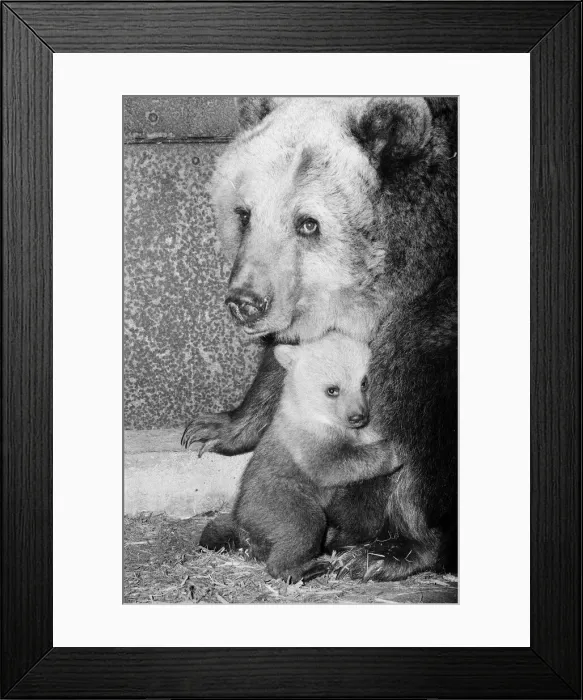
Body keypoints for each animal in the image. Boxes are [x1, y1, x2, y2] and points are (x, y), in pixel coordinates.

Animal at [199, 331, 403, 582]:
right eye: (332, 389)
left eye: (364, 382)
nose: (357, 416)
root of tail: (241, 518)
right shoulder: (305, 440)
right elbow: (331, 465)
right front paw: (393, 452)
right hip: (275, 499)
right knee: (303, 524)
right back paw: (305, 568)